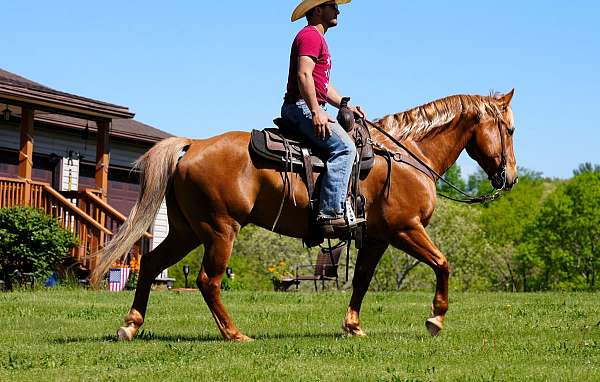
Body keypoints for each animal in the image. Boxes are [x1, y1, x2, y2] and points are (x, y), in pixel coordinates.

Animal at [91, 90, 516, 344]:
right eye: (510, 128)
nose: (509, 177)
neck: (406, 156)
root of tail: (193, 145)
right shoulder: (405, 229)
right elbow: (443, 264)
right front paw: (436, 320)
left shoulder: (378, 237)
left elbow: (361, 281)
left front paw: (353, 326)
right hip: (220, 230)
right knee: (208, 281)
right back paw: (234, 334)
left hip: (187, 231)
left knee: (150, 264)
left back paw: (130, 325)